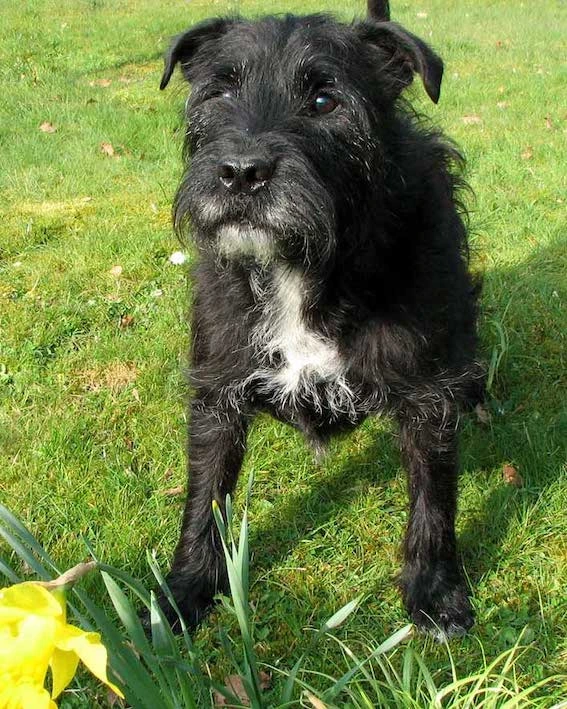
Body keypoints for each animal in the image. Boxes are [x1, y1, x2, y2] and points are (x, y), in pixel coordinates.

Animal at [160, 0, 484, 640]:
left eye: (324, 100)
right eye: (220, 91)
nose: (241, 172)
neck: (301, 266)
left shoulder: (426, 395)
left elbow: (433, 498)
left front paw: (435, 594)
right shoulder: (217, 394)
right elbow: (205, 496)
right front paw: (186, 592)